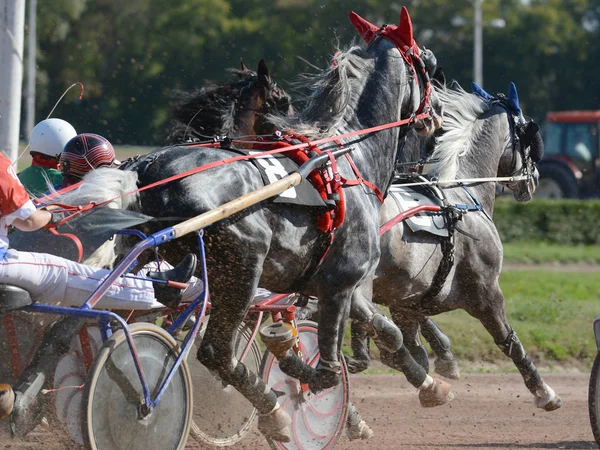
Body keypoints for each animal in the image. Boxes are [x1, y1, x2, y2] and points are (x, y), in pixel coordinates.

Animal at [352, 82, 564, 414]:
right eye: (527, 135)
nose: (533, 181)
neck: (462, 196)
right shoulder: (486, 292)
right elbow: (508, 340)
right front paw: (543, 391)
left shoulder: (405, 300)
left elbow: (405, 345)